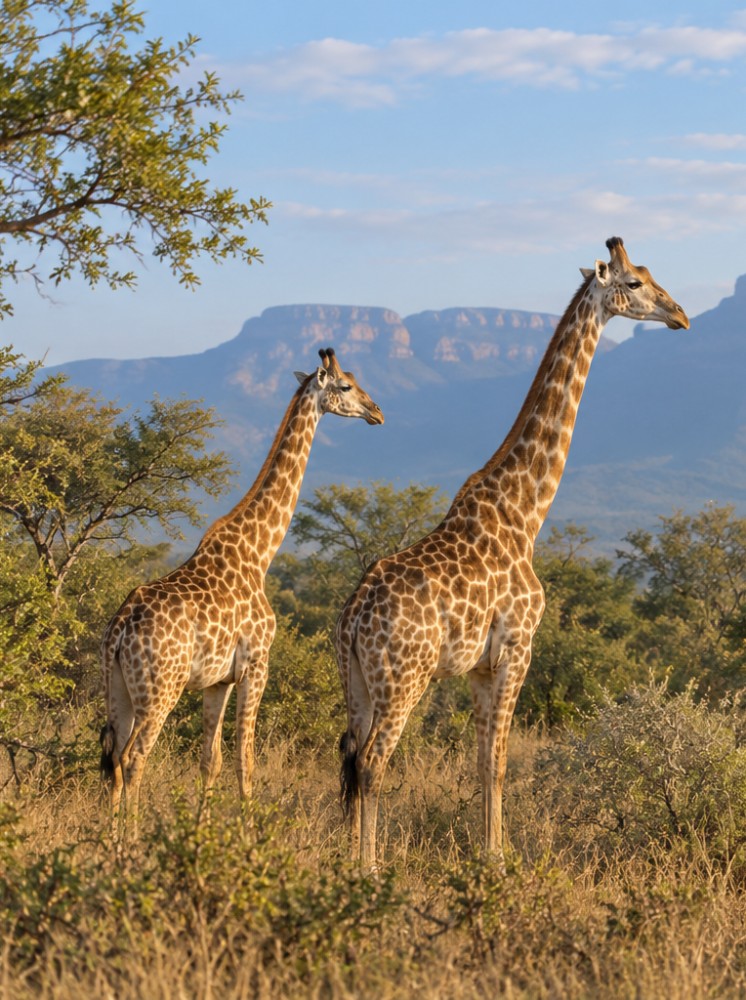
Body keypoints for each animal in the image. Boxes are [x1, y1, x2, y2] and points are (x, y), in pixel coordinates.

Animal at [100, 348, 383, 832]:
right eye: (346, 385)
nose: (377, 412)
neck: (259, 551)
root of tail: (120, 629)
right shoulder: (257, 664)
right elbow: (245, 760)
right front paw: (250, 835)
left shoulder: (218, 680)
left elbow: (209, 760)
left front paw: (202, 832)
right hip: (160, 690)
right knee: (135, 757)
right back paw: (130, 839)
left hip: (117, 687)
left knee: (115, 758)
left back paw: (109, 839)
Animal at [335, 237, 689, 870]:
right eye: (634, 282)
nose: (681, 314)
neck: (526, 514)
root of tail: (353, 617)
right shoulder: (518, 649)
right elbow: (500, 762)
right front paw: (498, 860)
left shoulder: (480, 666)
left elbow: (482, 762)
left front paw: (486, 851)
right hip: (404, 678)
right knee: (373, 762)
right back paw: (370, 865)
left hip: (356, 681)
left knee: (349, 758)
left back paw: (344, 857)